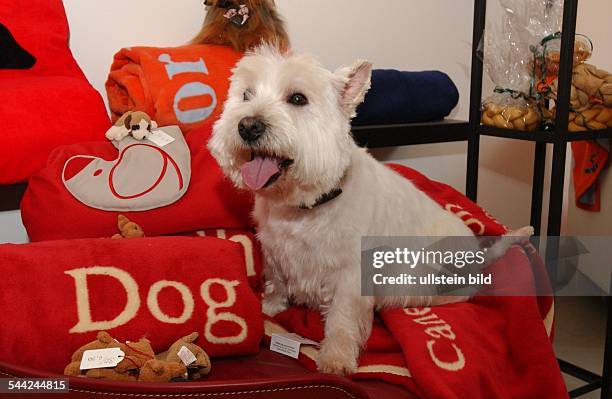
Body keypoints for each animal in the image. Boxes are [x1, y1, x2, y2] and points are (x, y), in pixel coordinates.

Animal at [208, 45, 532, 376]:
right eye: (246, 94)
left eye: (297, 98)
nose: (247, 126)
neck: (307, 205)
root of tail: (479, 257)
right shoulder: (275, 250)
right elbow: (276, 280)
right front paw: (270, 306)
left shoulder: (351, 274)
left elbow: (342, 317)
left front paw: (336, 358)